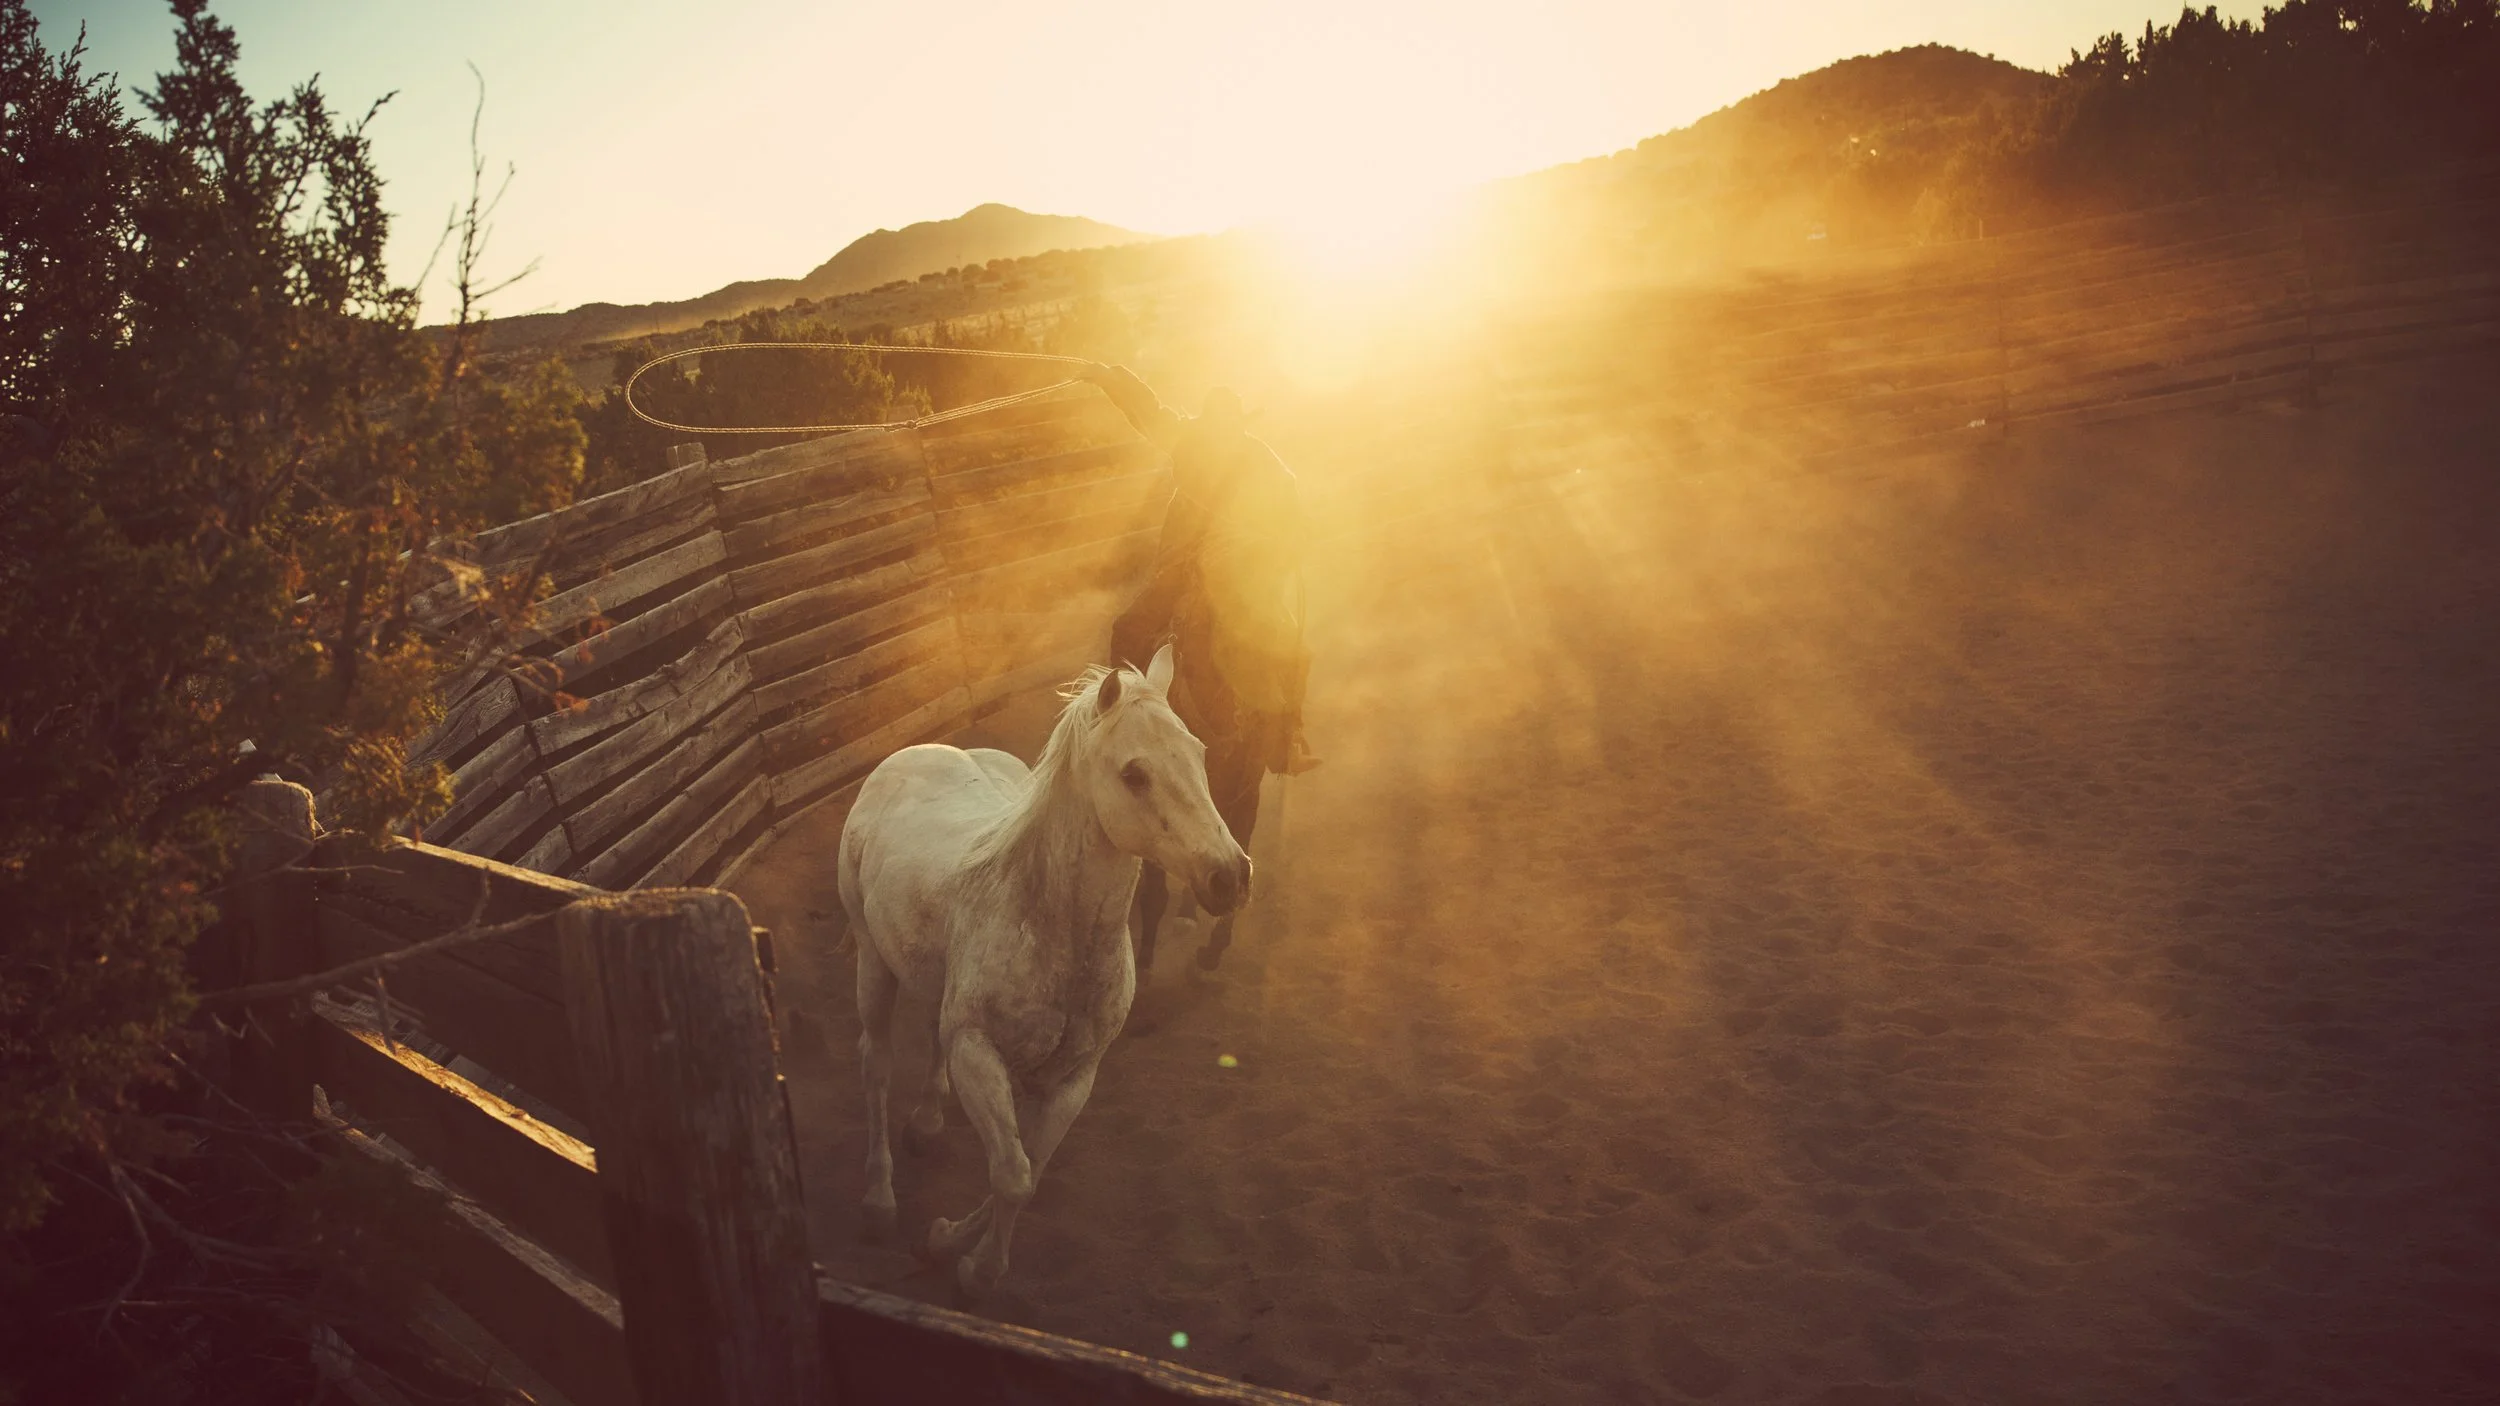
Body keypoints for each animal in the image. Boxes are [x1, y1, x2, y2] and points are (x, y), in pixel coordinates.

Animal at [837, 644, 1250, 1296]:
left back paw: (926, 1125)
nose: (1229, 876)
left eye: (1200, 754)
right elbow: (1012, 1172)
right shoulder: (979, 1053)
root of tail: (912, 753)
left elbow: (1027, 1171)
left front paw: (952, 1242)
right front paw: (973, 1265)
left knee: (930, 1034)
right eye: (1135, 774)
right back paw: (879, 1201)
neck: (1048, 923)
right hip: (873, 962)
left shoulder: (1072, 1077)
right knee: (875, 1064)